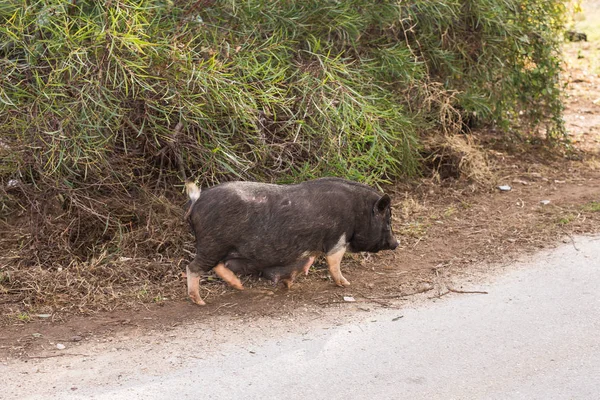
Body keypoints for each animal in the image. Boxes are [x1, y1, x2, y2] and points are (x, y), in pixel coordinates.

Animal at [183, 177, 398, 304]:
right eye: (387, 221)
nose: (397, 243)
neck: (358, 212)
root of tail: (196, 201)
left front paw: (290, 283)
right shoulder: (337, 240)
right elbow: (334, 263)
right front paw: (346, 284)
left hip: (219, 248)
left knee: (218, 266)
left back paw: (239, 286)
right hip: (212, 244)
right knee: (192, 267)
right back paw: (200, 301)